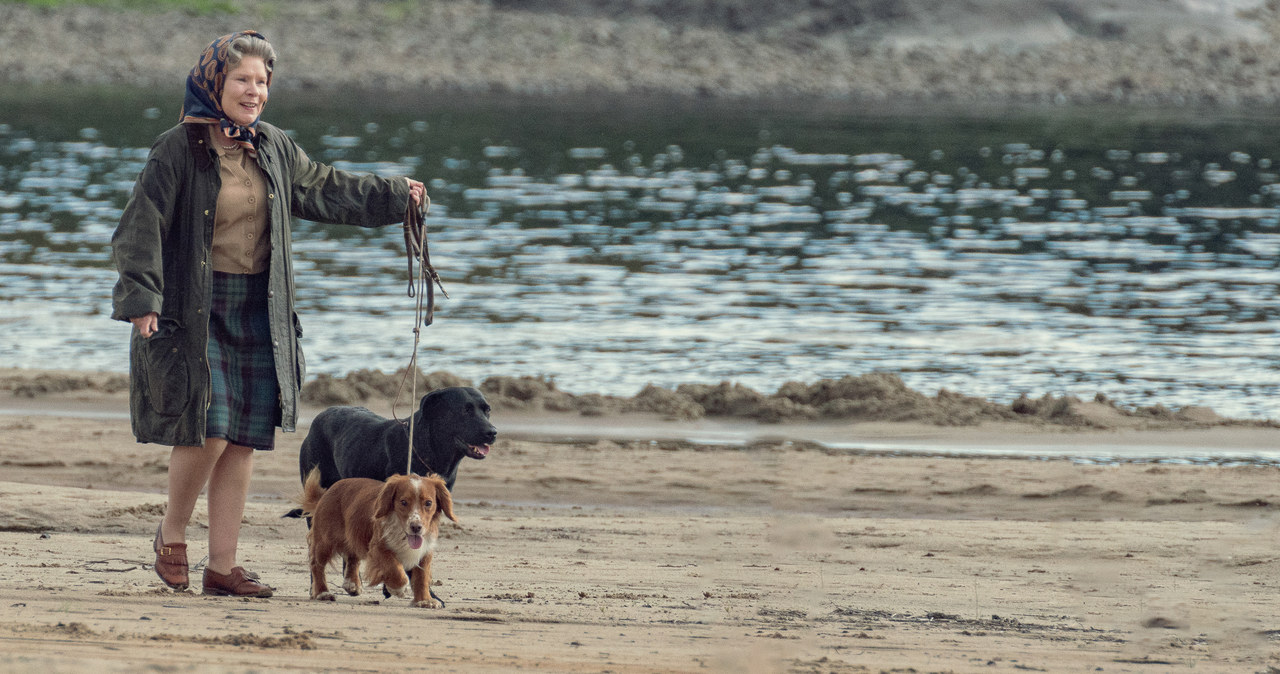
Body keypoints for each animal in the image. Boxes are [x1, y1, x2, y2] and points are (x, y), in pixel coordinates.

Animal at [300, 470, 458, 606]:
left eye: (428, 503)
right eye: (403, 502)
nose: (416, 527)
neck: (402, 534)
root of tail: (328, 491)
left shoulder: (424, 551)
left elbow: (422, 577)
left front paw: (424, 600)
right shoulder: (378, 548)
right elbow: (394, 569)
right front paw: (398, 589)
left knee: (352, 557)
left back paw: (352, 584)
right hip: (325, 541)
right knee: (316, 565)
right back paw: (322, 593)